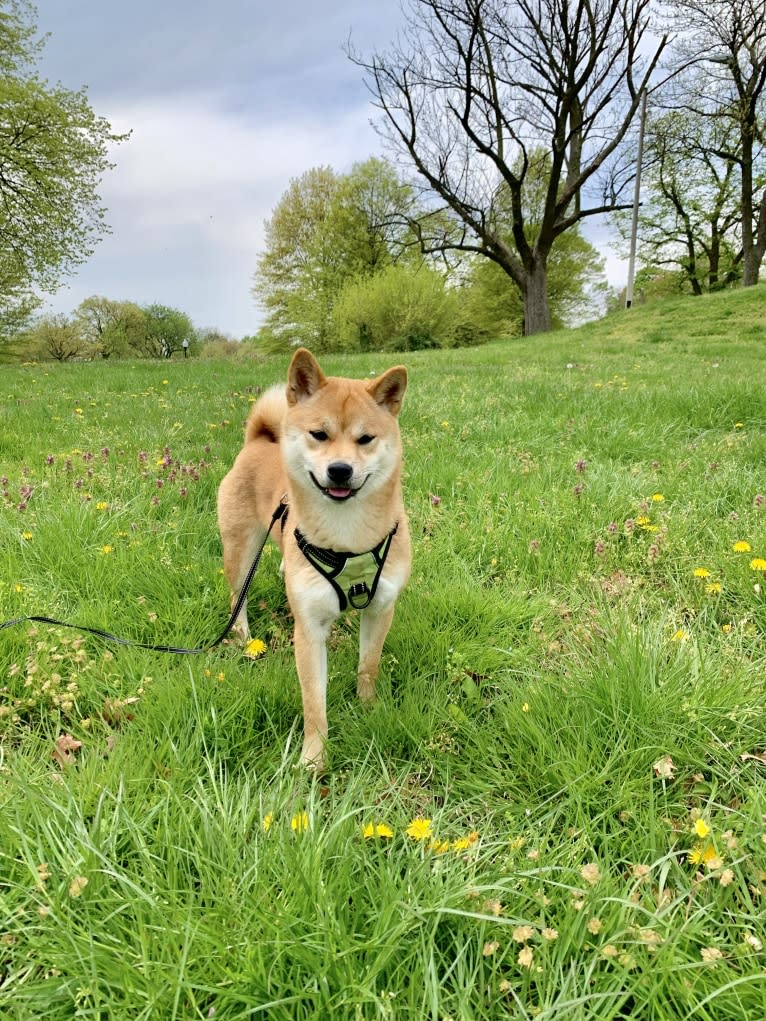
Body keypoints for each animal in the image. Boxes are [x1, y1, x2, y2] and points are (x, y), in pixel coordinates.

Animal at [217, 347, 414, 767]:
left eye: (365, 439)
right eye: (319, 435)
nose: (339, 469)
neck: (347, 537)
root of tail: (258, 441)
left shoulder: (380, 609)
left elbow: (368, 666)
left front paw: (367, 708)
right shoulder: (308, 628)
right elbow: (314, 702)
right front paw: (314, 757)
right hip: (239, 551)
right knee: (237, 596)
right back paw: (242, 636)